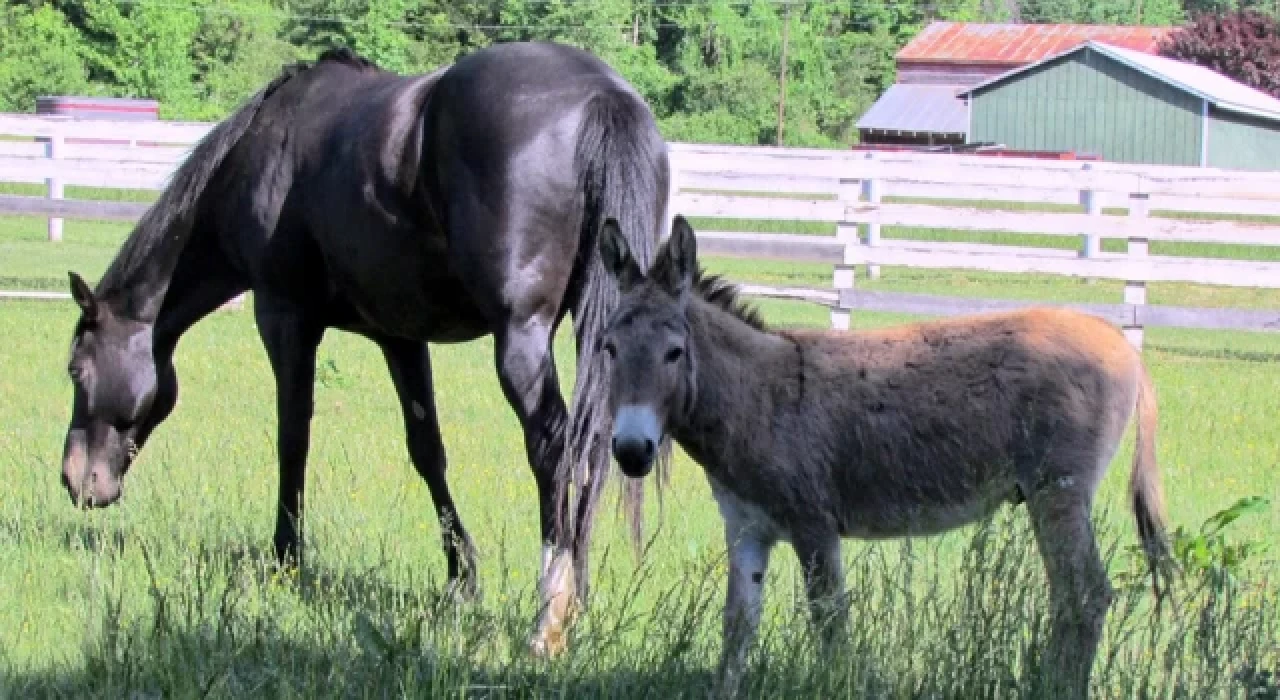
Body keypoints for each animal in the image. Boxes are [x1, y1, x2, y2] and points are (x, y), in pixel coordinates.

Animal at [57, 42, 670, 655]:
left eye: (76, 370)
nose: (76, 481)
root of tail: (601, 95)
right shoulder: (400, 336)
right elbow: (427, 451)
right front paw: (461, 578)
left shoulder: (284, 316)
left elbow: (293, 439)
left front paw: (286, 559)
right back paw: (578, 595)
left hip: (520, 337)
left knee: (553, 446)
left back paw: (550, 617)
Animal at [593, 216, 1172, 696]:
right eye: (608, 349)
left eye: (675, 353)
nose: (632, 452)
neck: (759, 398)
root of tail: (1125, 345)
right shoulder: (746, 529)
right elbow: (737, 630)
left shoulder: (814, 525)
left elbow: (830, 625)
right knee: (1072, 597)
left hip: (1058, 493)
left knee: (1084, 597)